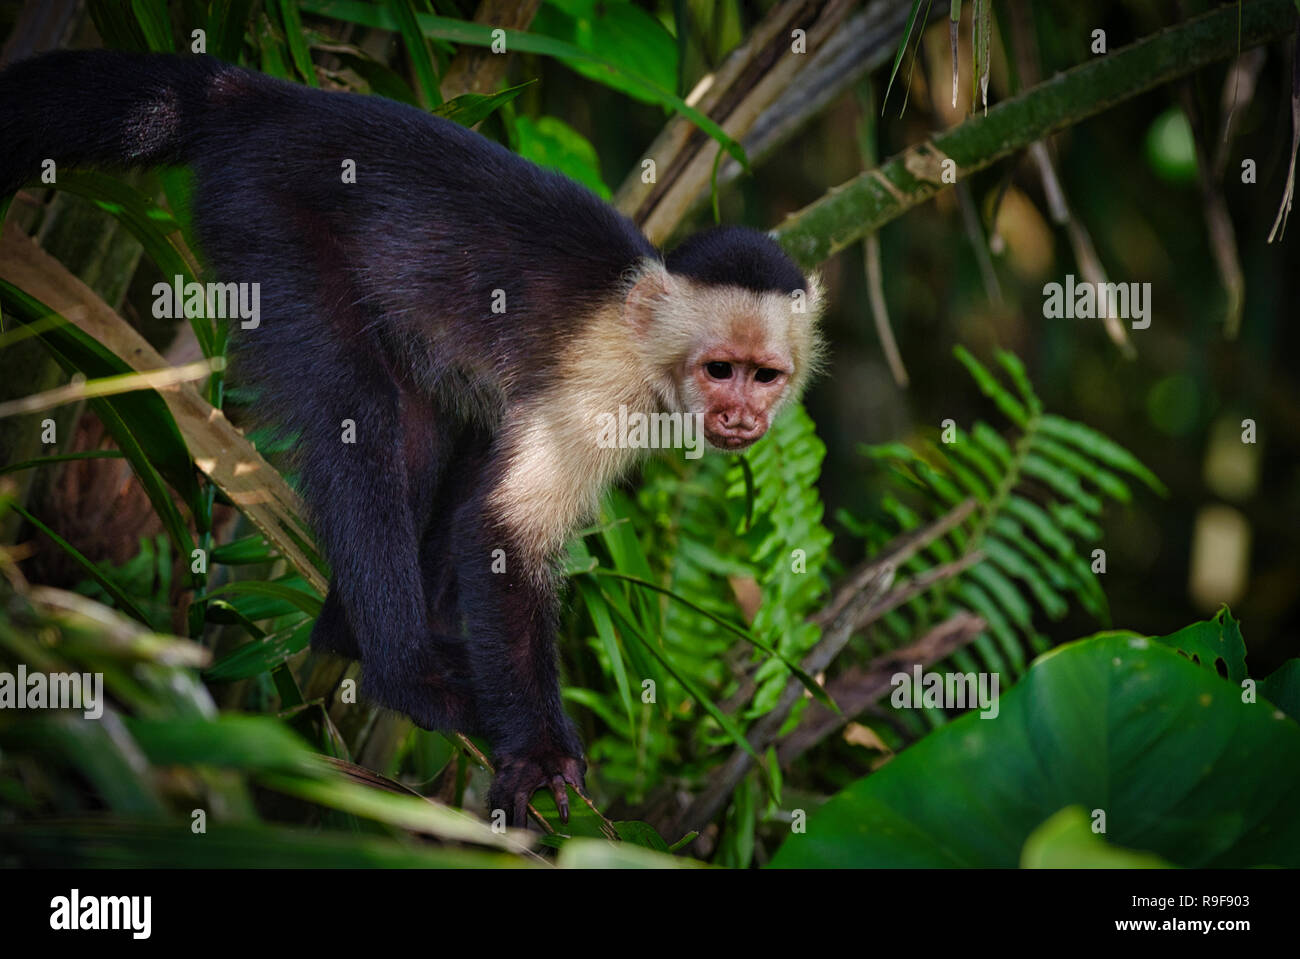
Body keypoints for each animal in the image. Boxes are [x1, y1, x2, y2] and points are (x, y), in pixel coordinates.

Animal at [0, 46, 826, 821]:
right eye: (720, 369)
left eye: (765, 375)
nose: (743, 416)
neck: (646, 346)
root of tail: (271, 98)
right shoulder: (602, 389)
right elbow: (503, 527)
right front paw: (540, 753)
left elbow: (478, 477)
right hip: (269, 215)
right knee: (359, 407)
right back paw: (405, 673)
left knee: (428, 423)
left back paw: (348, 630)